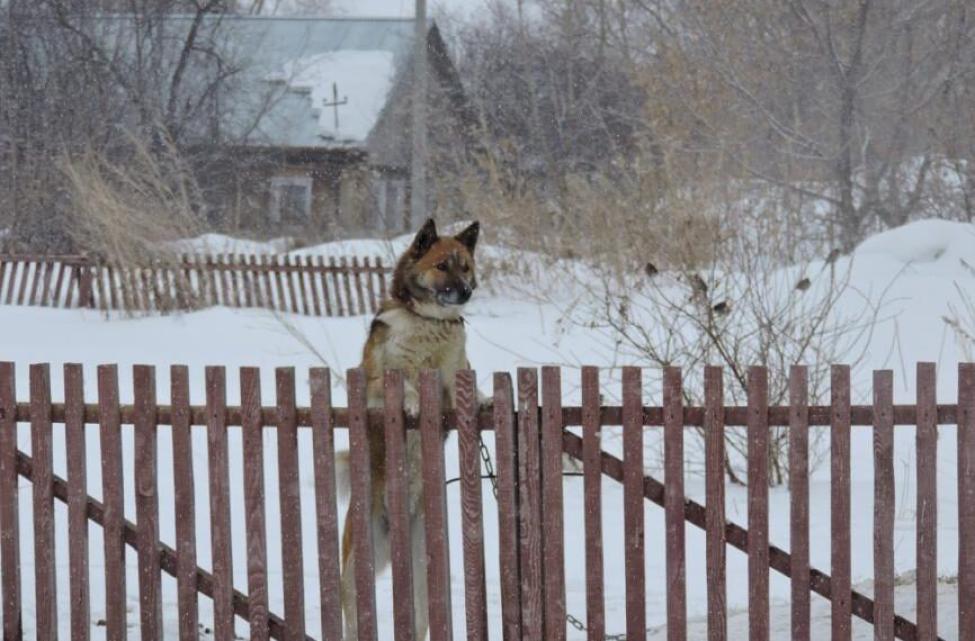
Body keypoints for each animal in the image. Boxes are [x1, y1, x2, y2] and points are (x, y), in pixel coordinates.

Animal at [342, 219, 482, 640]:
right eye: (442, 266)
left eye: (465, 266)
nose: (467, 291)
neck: (429, 323)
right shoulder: (374, 383)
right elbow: (402, 382)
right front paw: (414, 401)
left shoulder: (455, 374)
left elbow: (466, 384)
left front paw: (484, 399)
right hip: (355, 565)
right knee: (351, 613)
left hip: (426, 565)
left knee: (422, 618)